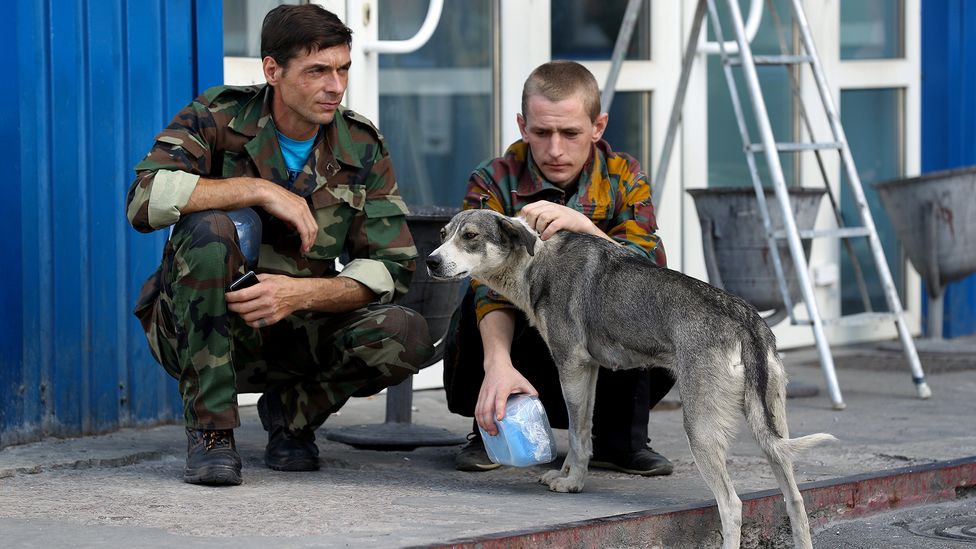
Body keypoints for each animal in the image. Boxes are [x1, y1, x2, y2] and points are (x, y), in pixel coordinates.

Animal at [428, 208, 840, 544]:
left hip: (702, 429)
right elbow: (583, 431)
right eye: (443, 233)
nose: (431, 261)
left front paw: (572, 483)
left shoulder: (571, 365)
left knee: (732, 505)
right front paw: (565, 474)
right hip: (772, 428)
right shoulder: (589, 370)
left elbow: (577, 435)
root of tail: (747, 321)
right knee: (795, 499)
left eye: (470, 236)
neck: (535, 259)